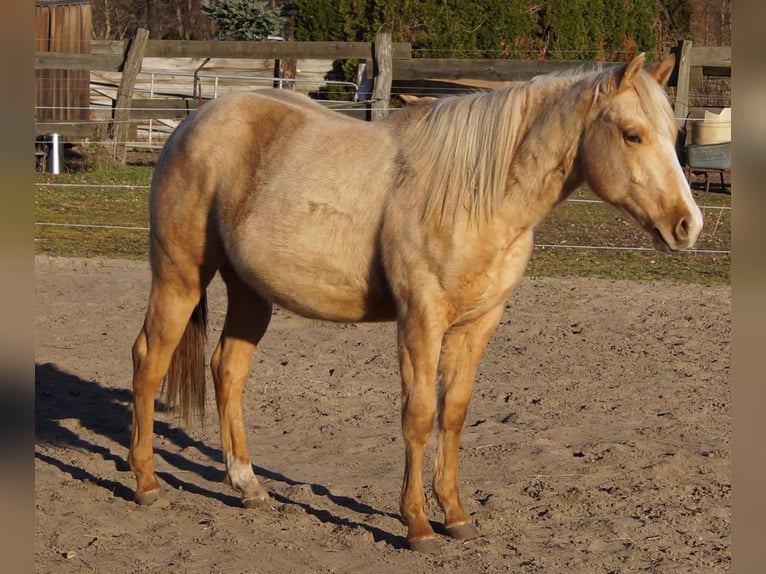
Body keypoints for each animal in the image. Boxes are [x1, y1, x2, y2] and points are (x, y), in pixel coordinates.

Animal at [130, 54, 704, 552]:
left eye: (674, 136)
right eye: (632, 134)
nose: (688, 225)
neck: (477, 194)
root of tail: (192, 122)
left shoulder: (477, 324)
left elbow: (454, 414)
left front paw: (456, 516)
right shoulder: (420, 320)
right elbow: (420, 414)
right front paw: (418, 526)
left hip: (251, 293)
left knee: (228, 370)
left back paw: (248, 487)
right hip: (179, 277)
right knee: (149, 362)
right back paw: (145, 482)